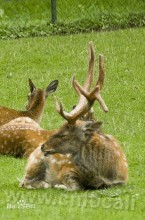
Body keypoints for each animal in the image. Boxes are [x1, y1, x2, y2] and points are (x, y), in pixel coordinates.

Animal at [19, 42, 128, 190]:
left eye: (64, 134)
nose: (43, 146)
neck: (105, 172)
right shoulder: (67, 170)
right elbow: (76, 186)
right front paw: (58, 185)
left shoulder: (123, 180)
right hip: (34, 163)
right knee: (24, 182)